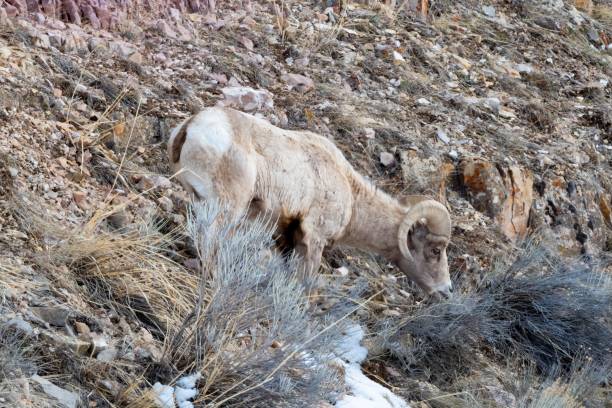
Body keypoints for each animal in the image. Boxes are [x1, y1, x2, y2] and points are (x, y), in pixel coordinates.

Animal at [167, 107, 454, 298]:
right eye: (435, 250)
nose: (446, 291)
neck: (350, 195)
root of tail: (191, 126)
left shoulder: (286, 237)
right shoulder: (313, 238)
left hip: (198, 199)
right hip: (228, 207)